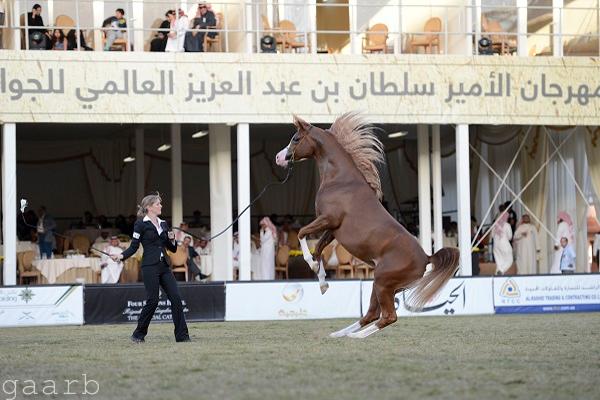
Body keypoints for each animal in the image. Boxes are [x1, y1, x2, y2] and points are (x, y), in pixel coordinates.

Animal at [276, 112, 460, 338]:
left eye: (295, 139)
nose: (279, 158)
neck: (340, 180)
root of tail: (427, 257)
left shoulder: (329, 220)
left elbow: (303, 234)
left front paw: (311, 264)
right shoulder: (333, 230)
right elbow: (318, 249)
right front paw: (323, 282)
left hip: (383, 282)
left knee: (387, 317)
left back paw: (355, 337)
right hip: (383, 285)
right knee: (372, 315)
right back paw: (340, 334)